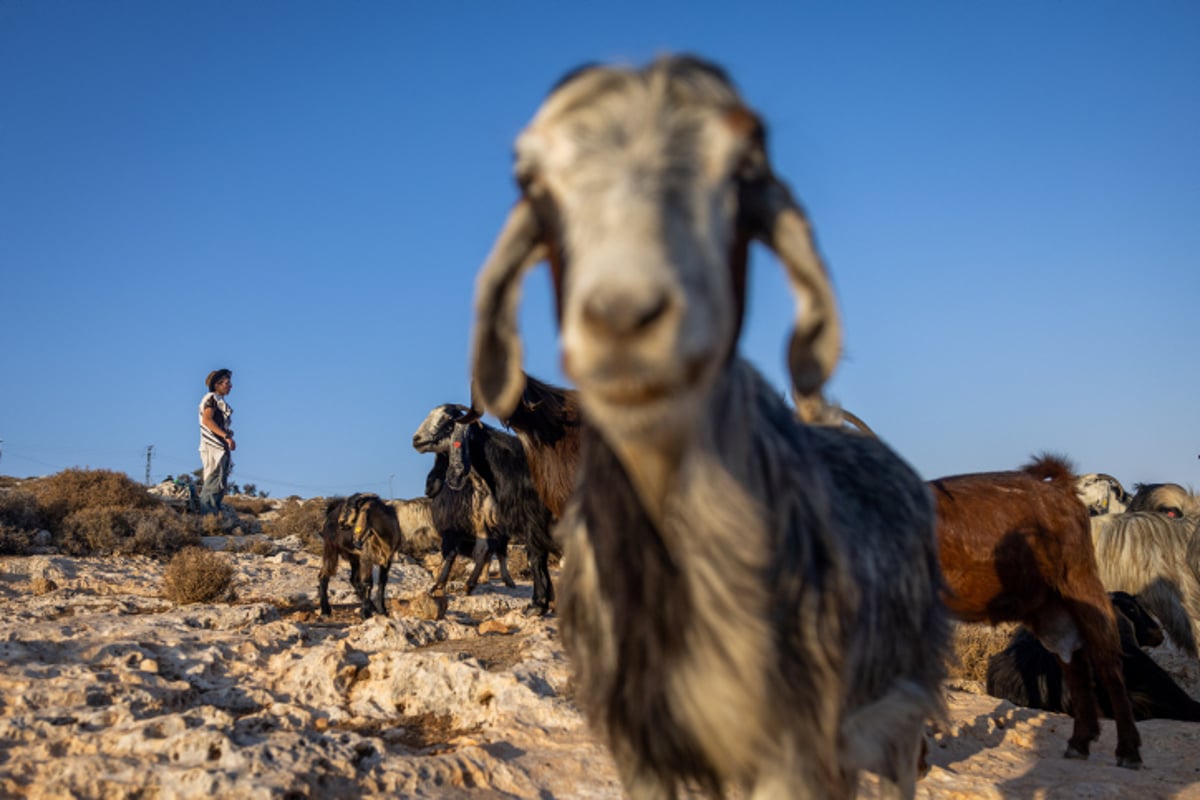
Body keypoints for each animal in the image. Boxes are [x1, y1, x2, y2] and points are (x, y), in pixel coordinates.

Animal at [465, 54, 945, 796]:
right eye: (530, 180)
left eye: (747, 168)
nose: (623, 316)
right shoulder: (643, 749)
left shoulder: (792, 753)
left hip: (897, 709)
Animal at [926, 453, 1142, 767]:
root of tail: (1060, 489)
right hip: (1050, 608)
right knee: (1073, 659)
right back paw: (1080, 742)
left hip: (1081, 581)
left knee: (1106, 660)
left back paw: (1128, 750)